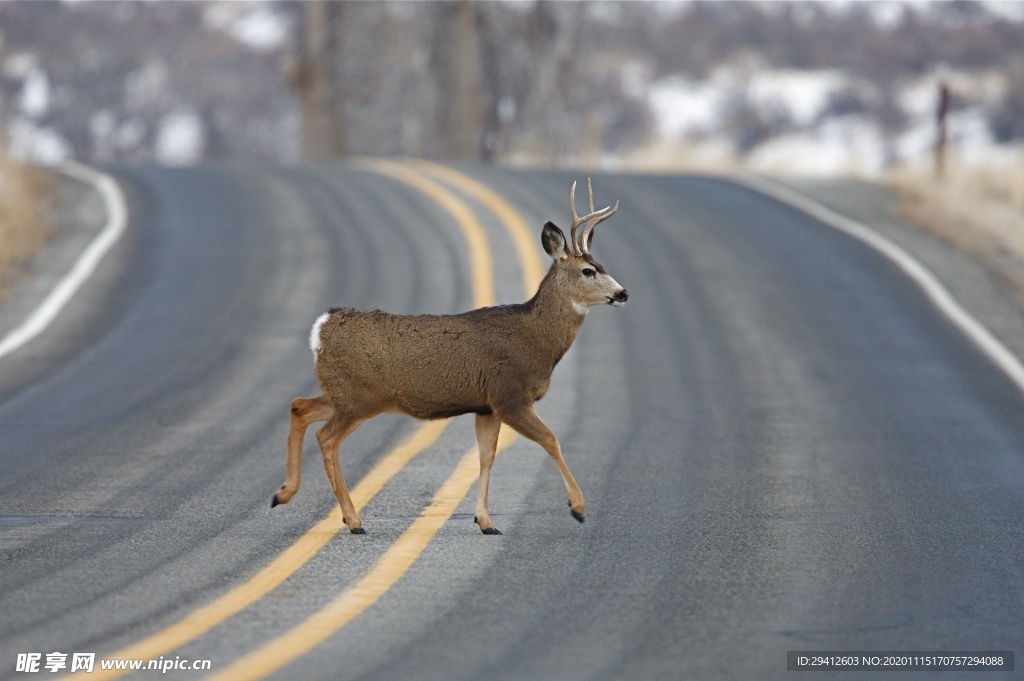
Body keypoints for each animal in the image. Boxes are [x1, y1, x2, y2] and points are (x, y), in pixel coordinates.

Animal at [272, 178, 622, 532]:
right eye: (589, 271)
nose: (623, 293)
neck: (538, 341)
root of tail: (321, 328)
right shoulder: (509, 395)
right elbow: (551, 440)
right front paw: (578, 507)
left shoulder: (486, 406)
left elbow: (486, 456)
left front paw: (485, 520)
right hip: (359, 397)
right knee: (326, 437)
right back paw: (352, 518)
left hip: (344, 393)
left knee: (300, 406)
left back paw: (284, 493)